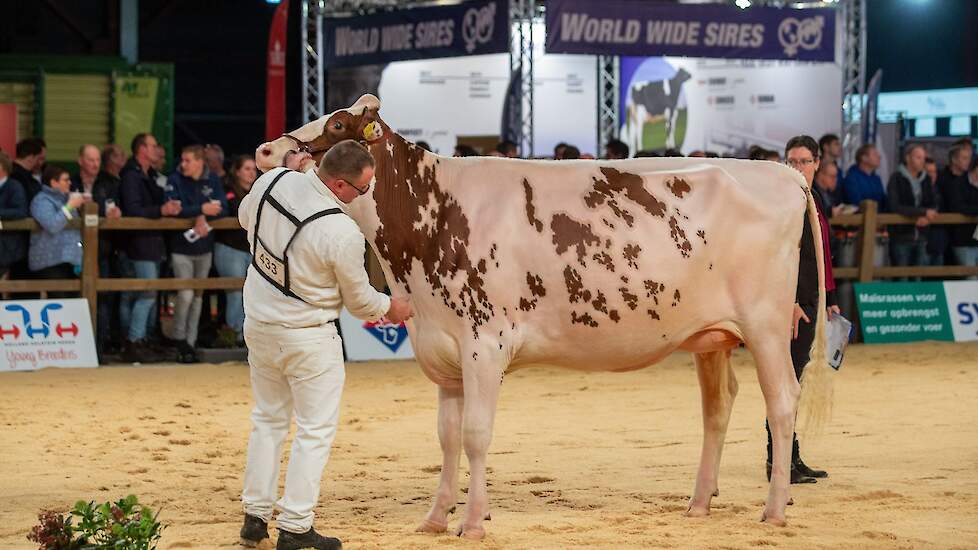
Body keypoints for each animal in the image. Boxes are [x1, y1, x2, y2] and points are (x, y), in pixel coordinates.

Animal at [255, 94, 828, 540]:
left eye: (336, 124)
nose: (265, 150)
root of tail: (781, 172)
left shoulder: (485, 344)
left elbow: (476, 434)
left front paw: (474, 522)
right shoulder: (444, 352)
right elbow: (446, 437)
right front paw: (436, 518)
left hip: (767, 325)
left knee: (783, 402)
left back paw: (774, 510)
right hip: (711, 337)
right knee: (718, 408)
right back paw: (700, 503)